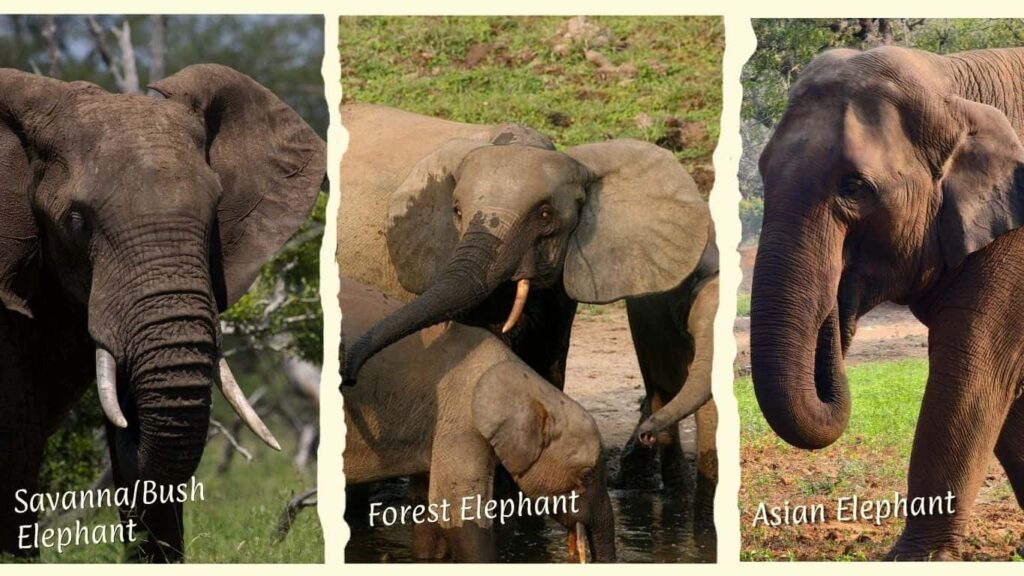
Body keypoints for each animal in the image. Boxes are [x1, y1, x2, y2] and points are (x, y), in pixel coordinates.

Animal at [751, 45, 1024, 560]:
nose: (836, 306)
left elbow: (974, 373)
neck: (951, 81)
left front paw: (913, 558)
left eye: (854, 187)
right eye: (762, 170)